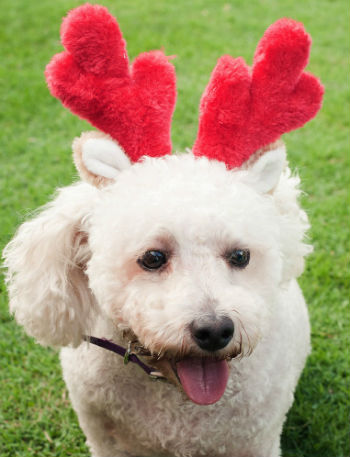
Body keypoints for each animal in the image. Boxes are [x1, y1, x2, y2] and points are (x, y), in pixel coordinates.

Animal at [2, 4, 322, 456]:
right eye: (153, 258)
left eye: (240, 256)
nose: (215, 330)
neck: (175, 398)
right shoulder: (102, 435)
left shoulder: (256, 439)